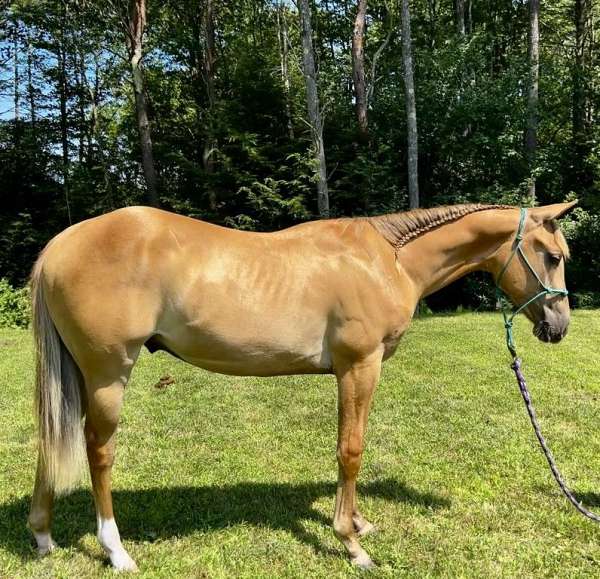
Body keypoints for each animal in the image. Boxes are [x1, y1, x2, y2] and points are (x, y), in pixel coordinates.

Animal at [27, 203, 576, 572]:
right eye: (550, 255)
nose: (559, 326)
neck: (388, 260)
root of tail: (59, 245)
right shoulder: (359, 366)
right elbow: (350, 450)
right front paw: (352, 543)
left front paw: (357, 523)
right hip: (107, 374)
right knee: (98, 450)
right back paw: (116, 550)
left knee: (51, 441)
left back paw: (43, 535)